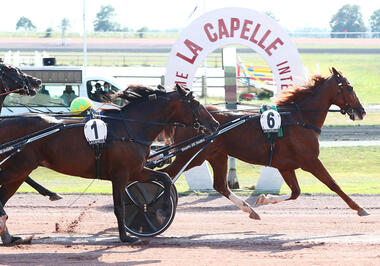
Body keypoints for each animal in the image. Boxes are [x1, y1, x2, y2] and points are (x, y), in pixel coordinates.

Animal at [0, 84, 220, 244]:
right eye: (195, 103)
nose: (215, 124)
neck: (130, 127)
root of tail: (5, 122)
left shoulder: (136, 170)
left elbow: (165, 177)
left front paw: (161, 210)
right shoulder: (120, 175)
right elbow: (120, 206)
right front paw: (127, 235)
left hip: (19, 171)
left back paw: (9, 237)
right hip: (18, 168)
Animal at [163, 68, 368, 220]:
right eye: (349, 87)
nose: (362, 111)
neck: (300, 118)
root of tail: (183, 121)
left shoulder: (286, 166)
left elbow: (296, 192)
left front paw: (262, 199)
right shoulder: (310, 161)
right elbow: (333, 184)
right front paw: (360, 208)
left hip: (216, 155)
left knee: (221, 185)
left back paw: (250, 210)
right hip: (190, 156)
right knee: (166, 174)